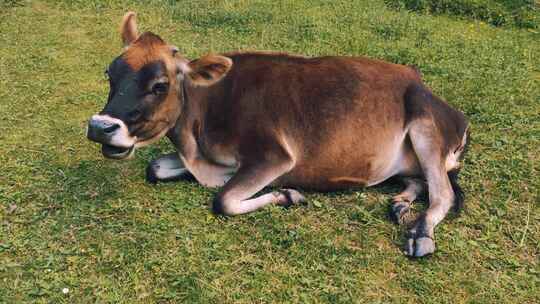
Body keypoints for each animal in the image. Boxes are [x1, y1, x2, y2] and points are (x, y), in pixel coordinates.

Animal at [87, 13, 468, 258]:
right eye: (109, 73)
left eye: (160, 85)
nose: (100, 127)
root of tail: (421, 81)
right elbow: (155, 169)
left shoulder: (274, 156)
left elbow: (223, 200)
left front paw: (289, 195)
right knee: (419, 180)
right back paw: (400, 203)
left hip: (425, 125)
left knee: (444, 194)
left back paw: (420, 233)